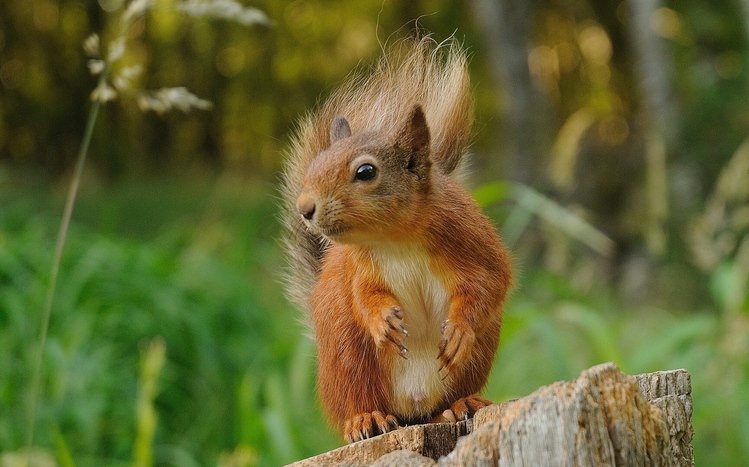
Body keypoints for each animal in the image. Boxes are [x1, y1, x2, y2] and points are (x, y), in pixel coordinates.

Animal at [281, 37, 512, 443]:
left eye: (366, 171)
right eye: (315, 165)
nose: (304, 208)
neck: (394, 238)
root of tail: (412, 408)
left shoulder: (471, 238)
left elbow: (490, 282)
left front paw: (458, 330)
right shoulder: (359, 268)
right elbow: (365, 297)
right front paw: (382, 322)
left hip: (474, 359)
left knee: (443, 403)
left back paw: (460, 404)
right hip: (348, 357)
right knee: (360, 400)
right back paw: (365, 419)